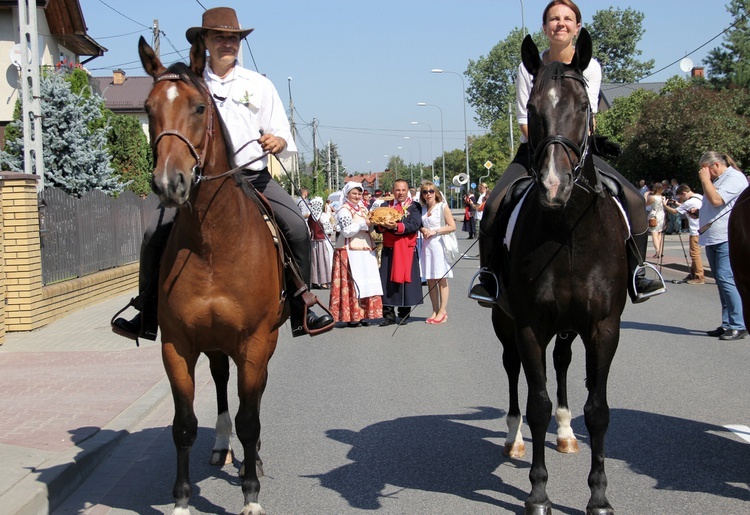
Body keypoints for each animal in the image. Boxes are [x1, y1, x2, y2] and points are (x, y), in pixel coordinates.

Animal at [137, 37, 286, 515]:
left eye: (200, 107)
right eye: (147, 108)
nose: (170, 183)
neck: (212, 245)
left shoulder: (254, 342)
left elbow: (250, 418)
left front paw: (251, 493)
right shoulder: (176, 345)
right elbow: (183, 423)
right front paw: (182, 500)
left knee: (251, 395)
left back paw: (253, 459)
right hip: (215, 343)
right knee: (221, 383)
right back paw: (223, 446)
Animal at [490, 29, 632, 515]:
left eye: (585, 106)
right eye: (532, 109)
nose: (554, 187)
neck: (568, 231)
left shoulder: (604, 326)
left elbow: (598, 409)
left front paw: (599, 496)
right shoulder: (529, 325)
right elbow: (537, 404)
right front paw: (537, 493)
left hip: (571, 327)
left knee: (565, 362)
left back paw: (567, 433)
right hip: (505, 322)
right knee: (512, 369)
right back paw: (513, 438)